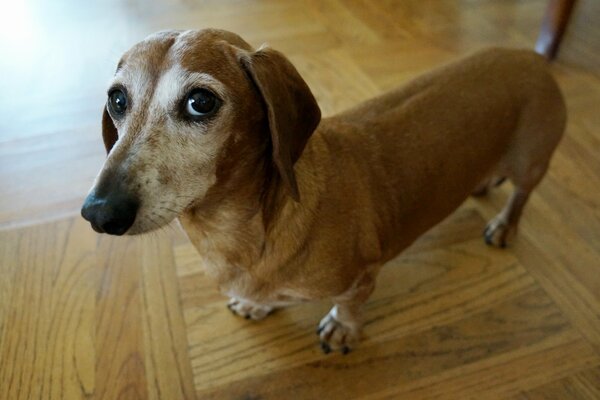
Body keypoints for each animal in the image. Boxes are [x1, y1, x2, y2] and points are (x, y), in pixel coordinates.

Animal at [81, 28, 568, 354]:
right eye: (118, 100)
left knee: (522, 195)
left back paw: (504, 225)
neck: (248, 231)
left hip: (532, 162)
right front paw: (256, 304)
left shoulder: (363, 276)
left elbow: (351, 306)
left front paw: (342, 328)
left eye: (201, 101)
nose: (99, 213)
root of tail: (529, 56)